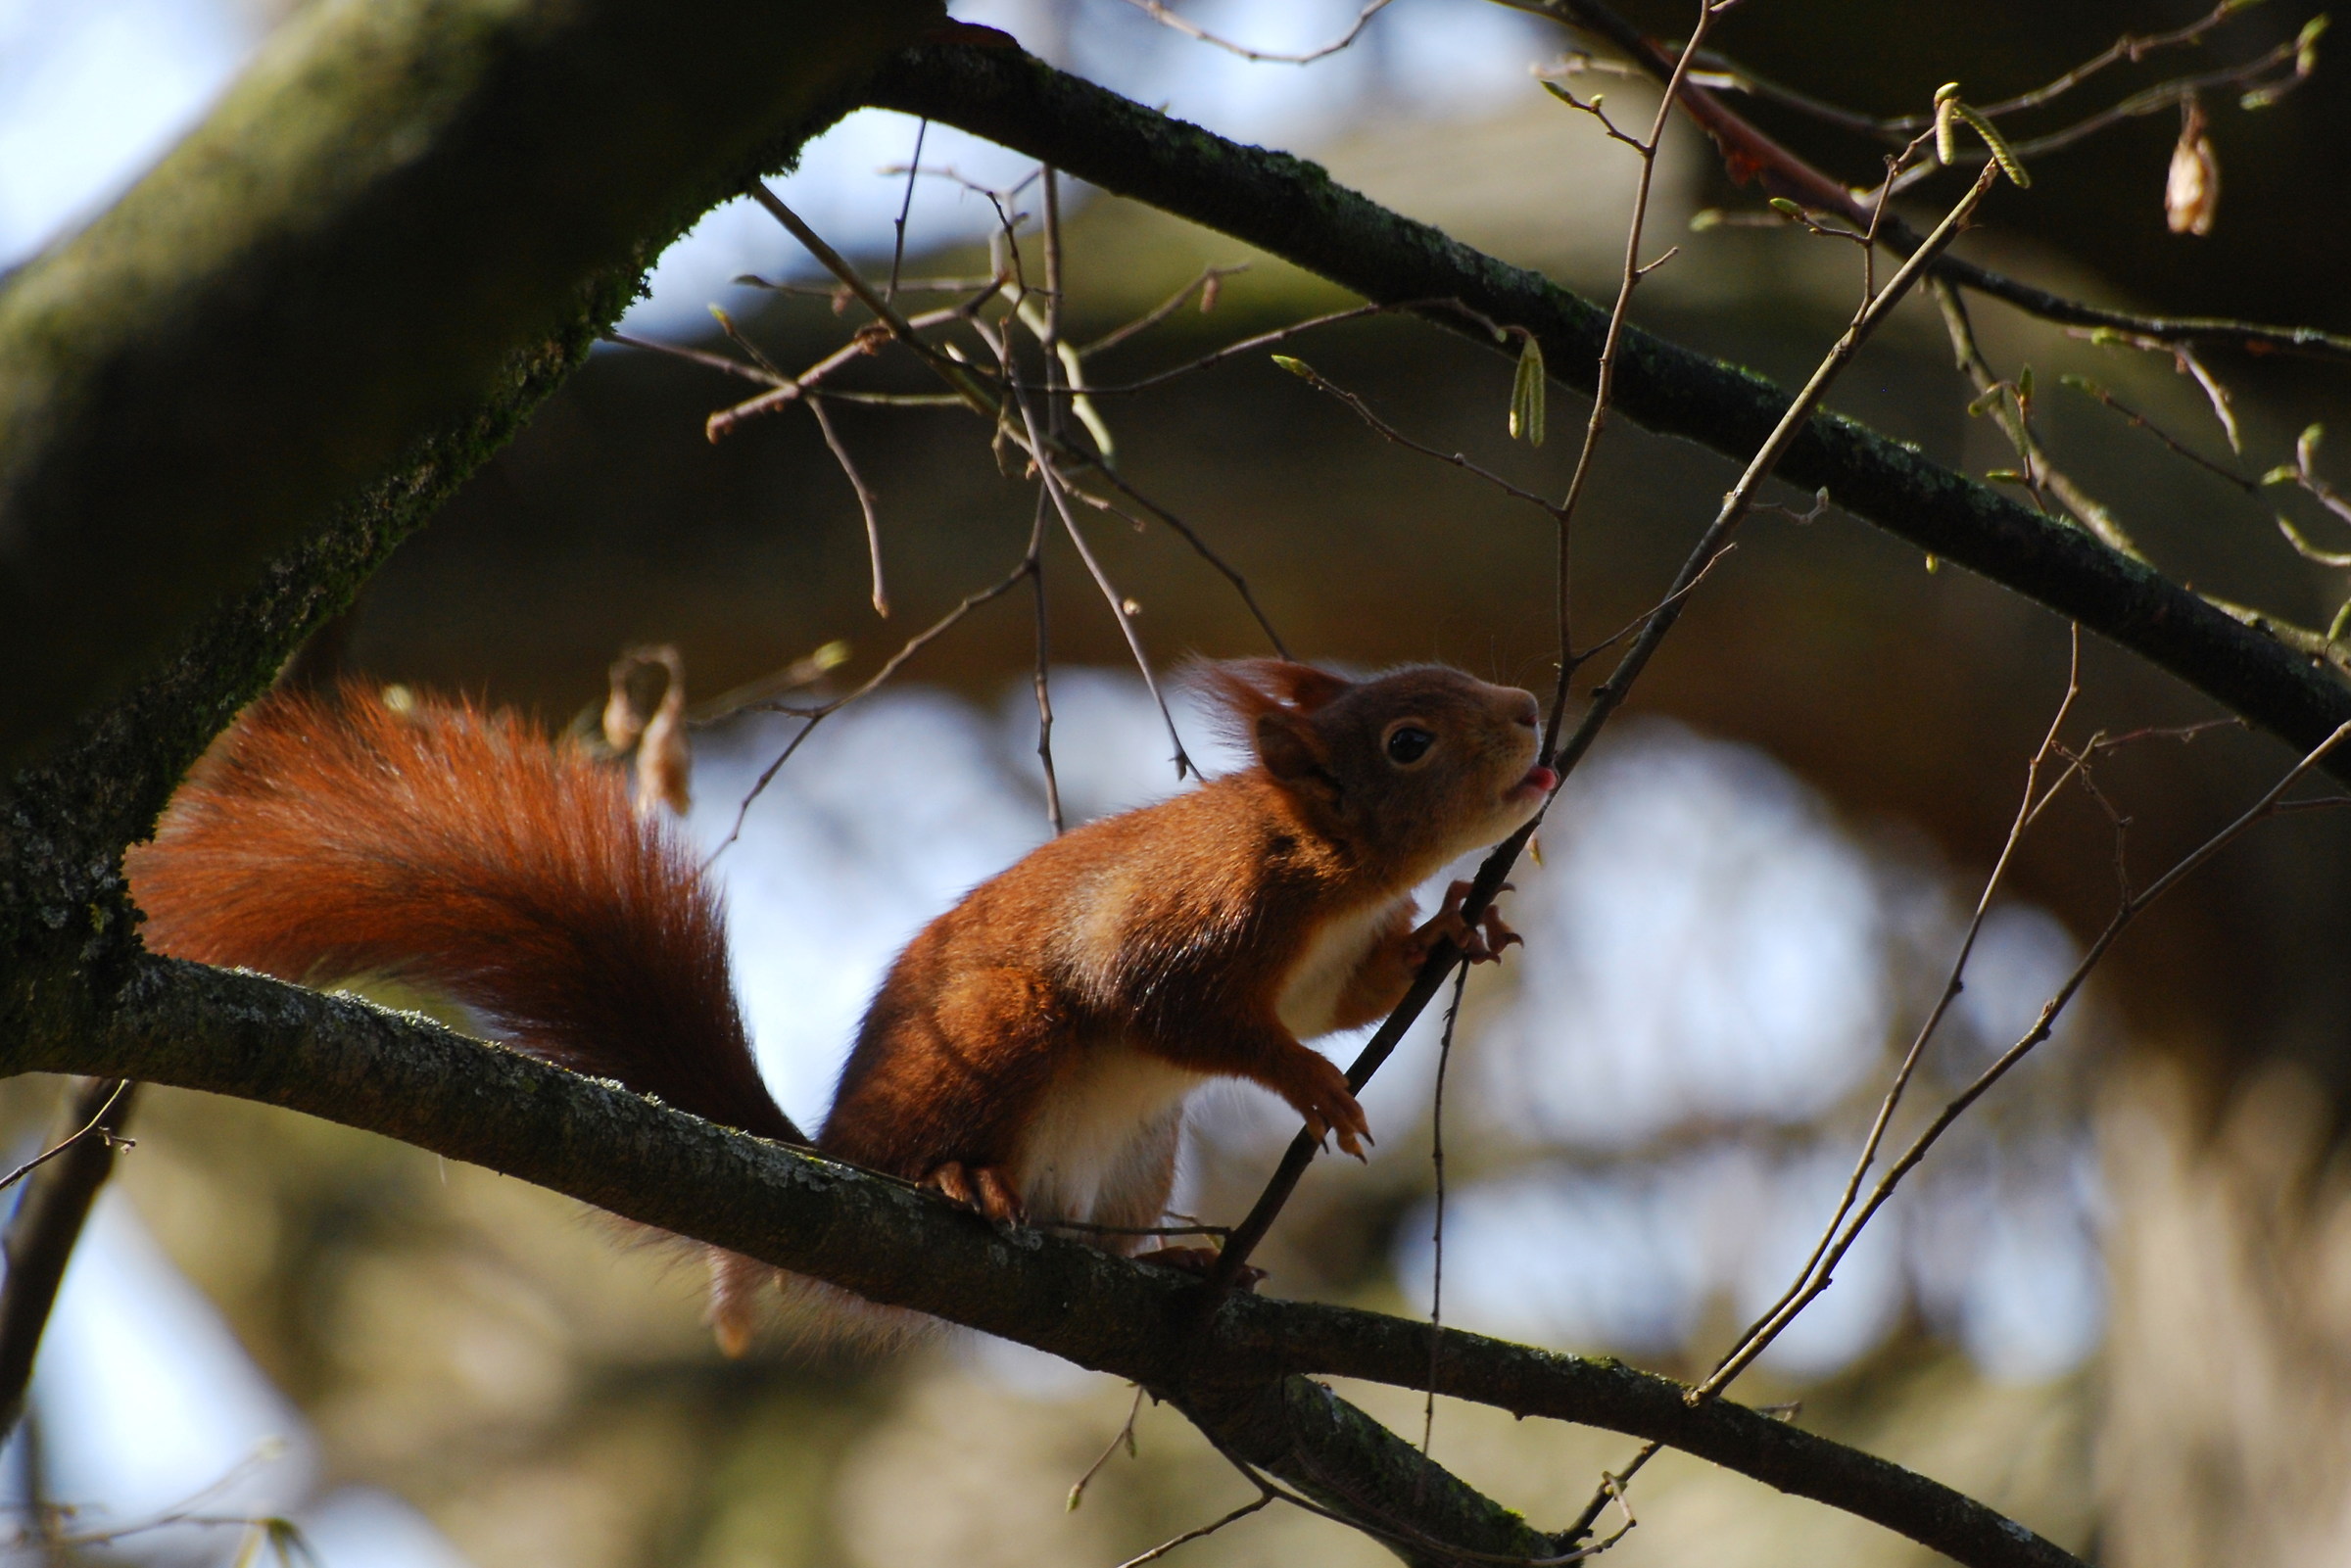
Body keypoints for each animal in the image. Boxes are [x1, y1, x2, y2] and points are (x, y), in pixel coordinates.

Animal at [125, 659, 1555, 1349]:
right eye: (1408, 741)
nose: (1534, 712)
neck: (1335, 868)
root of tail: (838, 1152)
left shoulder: (1327, 955)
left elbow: (1356, 992)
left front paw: (1460, 926)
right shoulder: (1205, 917)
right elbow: (1183, 1014)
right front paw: (1313, 1088)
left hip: (1138, 1160)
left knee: (1097, 1233)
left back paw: (1182, 1263)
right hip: (999, 1036)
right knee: (965, 1138)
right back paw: (959, 1183)